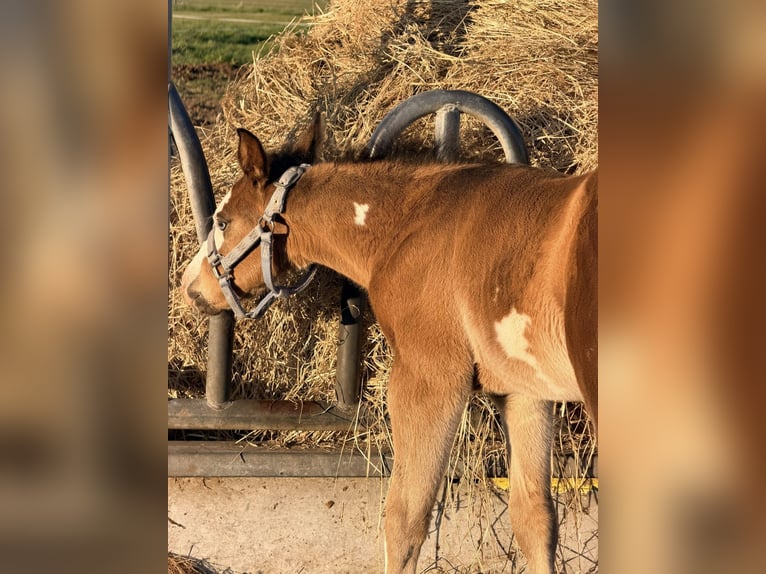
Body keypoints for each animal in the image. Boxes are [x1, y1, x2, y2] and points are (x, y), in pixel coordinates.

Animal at [180, 115, 597, 574]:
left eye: (222, 221)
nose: (190, 286)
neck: (411, 225)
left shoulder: (427, 377)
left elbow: (405, 517)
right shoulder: (523, 390)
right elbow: (534, 518)